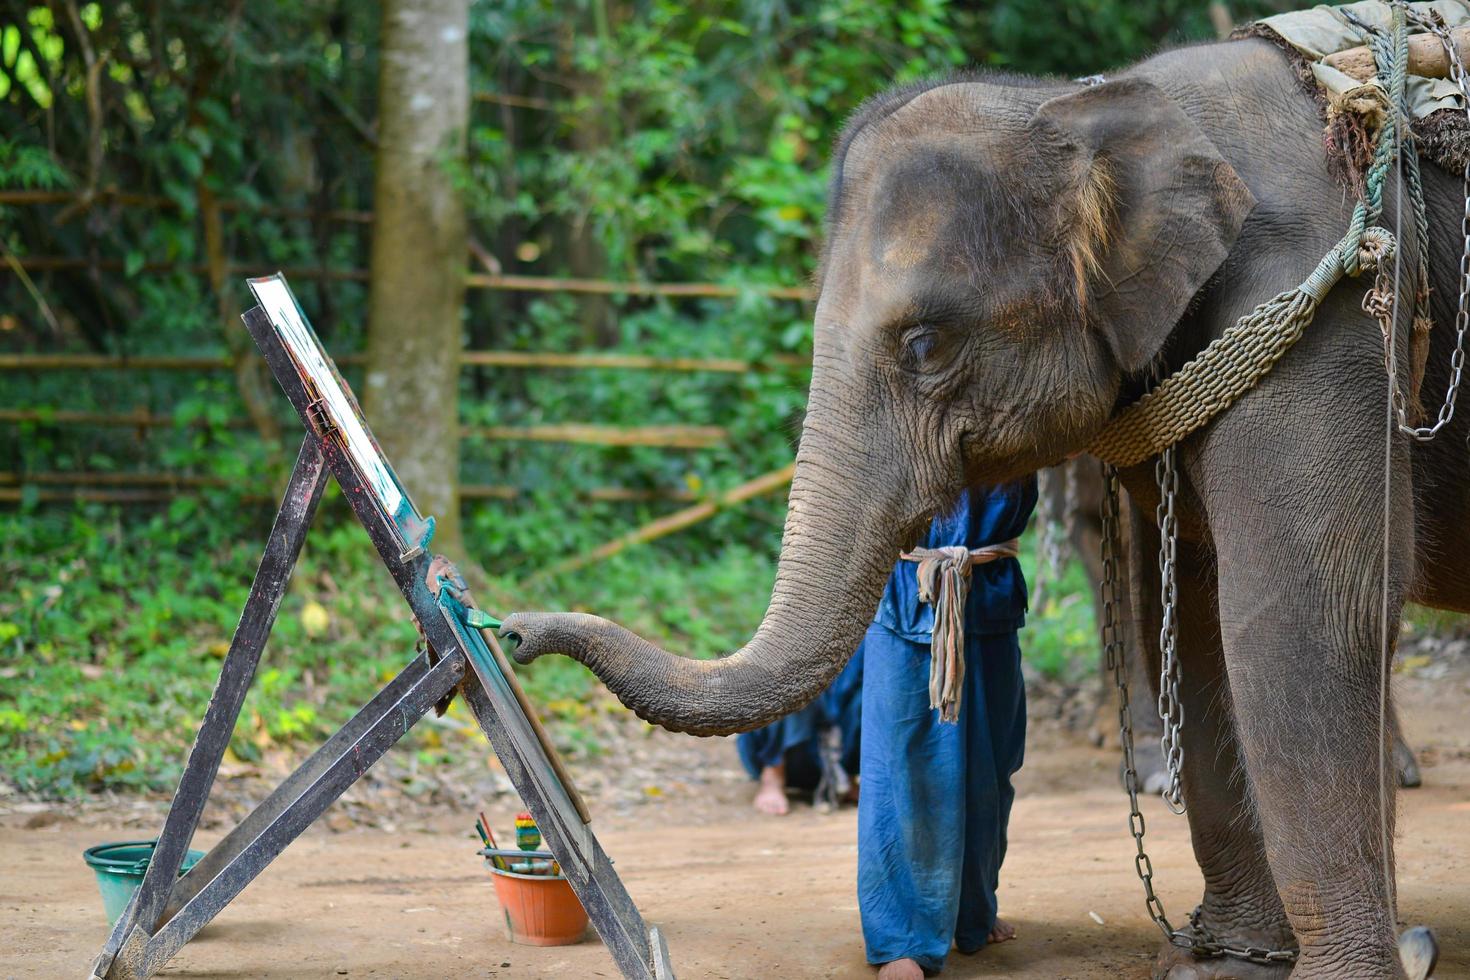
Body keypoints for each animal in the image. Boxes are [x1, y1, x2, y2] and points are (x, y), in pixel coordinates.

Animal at [505, 32, 1458, 980]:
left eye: (924, 343)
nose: (509, 632)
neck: (1091, 101)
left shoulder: (1326, 310)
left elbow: (1308, 612)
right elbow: (1197, 617)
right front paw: (1228, 964)